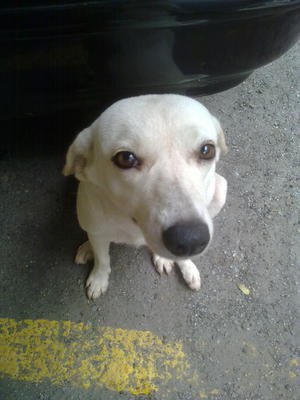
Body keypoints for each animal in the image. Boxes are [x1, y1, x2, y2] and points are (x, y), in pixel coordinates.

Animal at [63, 94, 227, 300]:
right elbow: (102, 260)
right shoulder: (96, 229)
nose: (191, 240)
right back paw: (87, 248)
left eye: (207, 150)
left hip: (221, 189)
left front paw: (183, 264)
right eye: (126, 158)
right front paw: (99, 278)